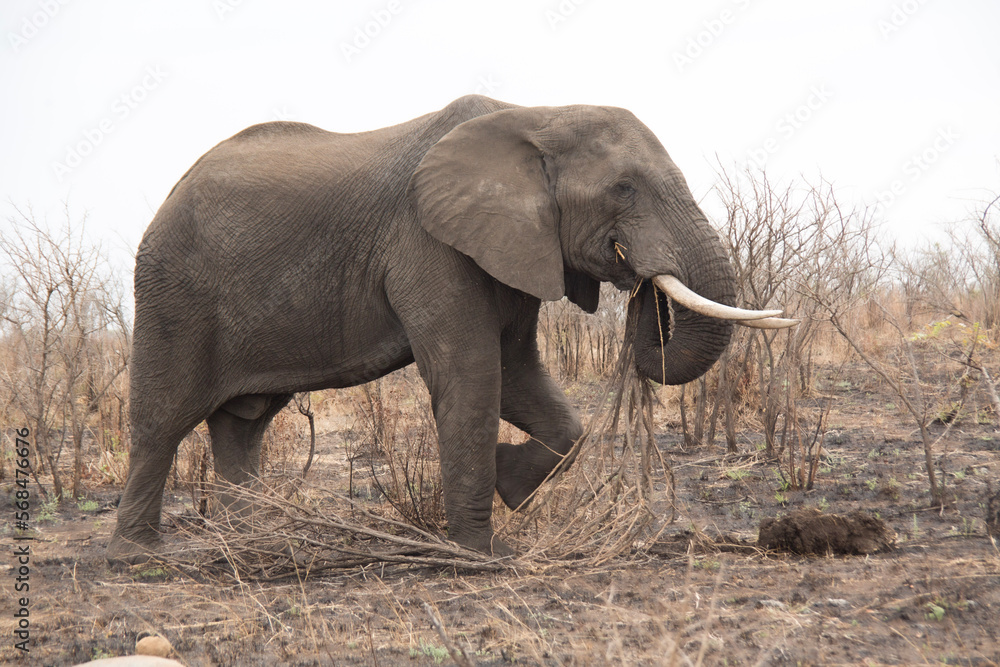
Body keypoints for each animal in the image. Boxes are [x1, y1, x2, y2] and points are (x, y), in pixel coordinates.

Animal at [107, 95, 792, 560]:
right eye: (623, 188)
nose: (644, 289)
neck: (537, 114)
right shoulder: (429, 241)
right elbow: (472, 374)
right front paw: (482, 553)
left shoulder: (512, 246)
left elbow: (521, 378)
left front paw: (509, 484)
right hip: (173, 294)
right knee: (163, 420)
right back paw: (139, 555)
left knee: (244, 423)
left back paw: (252, 538)